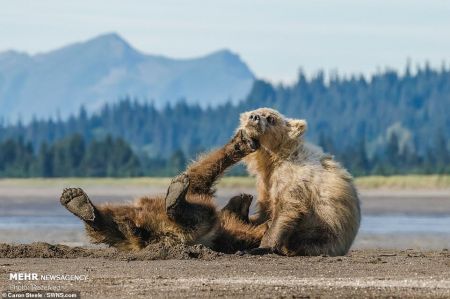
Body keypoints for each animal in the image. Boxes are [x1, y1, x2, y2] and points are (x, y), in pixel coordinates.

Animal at [58, 130, 266, 254]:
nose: (246, 197)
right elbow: (200, 175)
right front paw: (241, 142)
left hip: (169, 231)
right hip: (142, 215)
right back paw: (76, 200)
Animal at [237, 106, 360, 256]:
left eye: (271, 118)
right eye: (253, 112)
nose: (254, 117)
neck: (273, 158)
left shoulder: (290, 176)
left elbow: (286, 208)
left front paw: (258, 247)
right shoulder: (265, 181)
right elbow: (265, 206)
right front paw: (248, 217)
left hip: (325, 230)